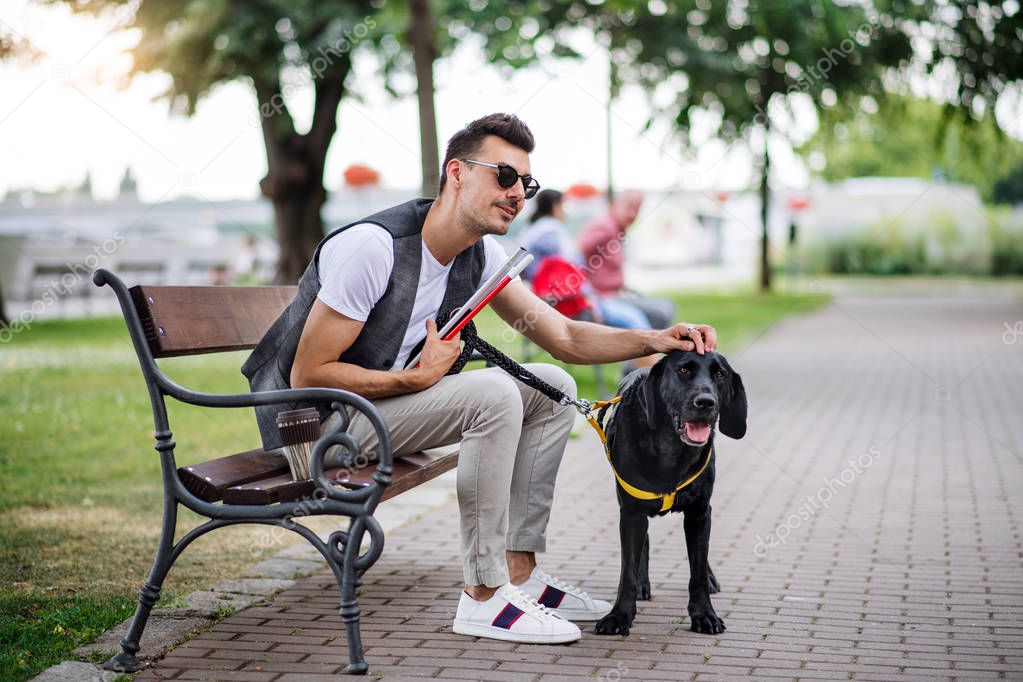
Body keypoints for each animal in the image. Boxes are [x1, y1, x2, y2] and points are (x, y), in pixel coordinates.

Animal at [593, 349, 744, 638]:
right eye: (683, 370)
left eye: (720, 374)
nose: (706, 402)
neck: (671, 450)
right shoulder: (631, 513)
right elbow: (628, 571)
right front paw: (619, 616)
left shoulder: (699, 512)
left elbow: (697, 569)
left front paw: (704, 614)